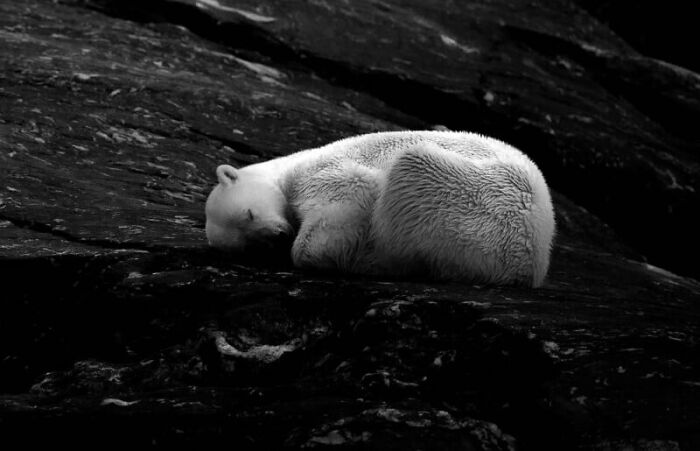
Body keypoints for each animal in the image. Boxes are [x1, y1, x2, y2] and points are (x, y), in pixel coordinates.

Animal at [205, 131, 556, 286]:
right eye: (247, 244)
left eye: (249, 214)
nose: (278, 236)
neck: (288, 168)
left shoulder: (320, 173)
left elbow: (353, 191)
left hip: (476, 202)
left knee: (413, 168)